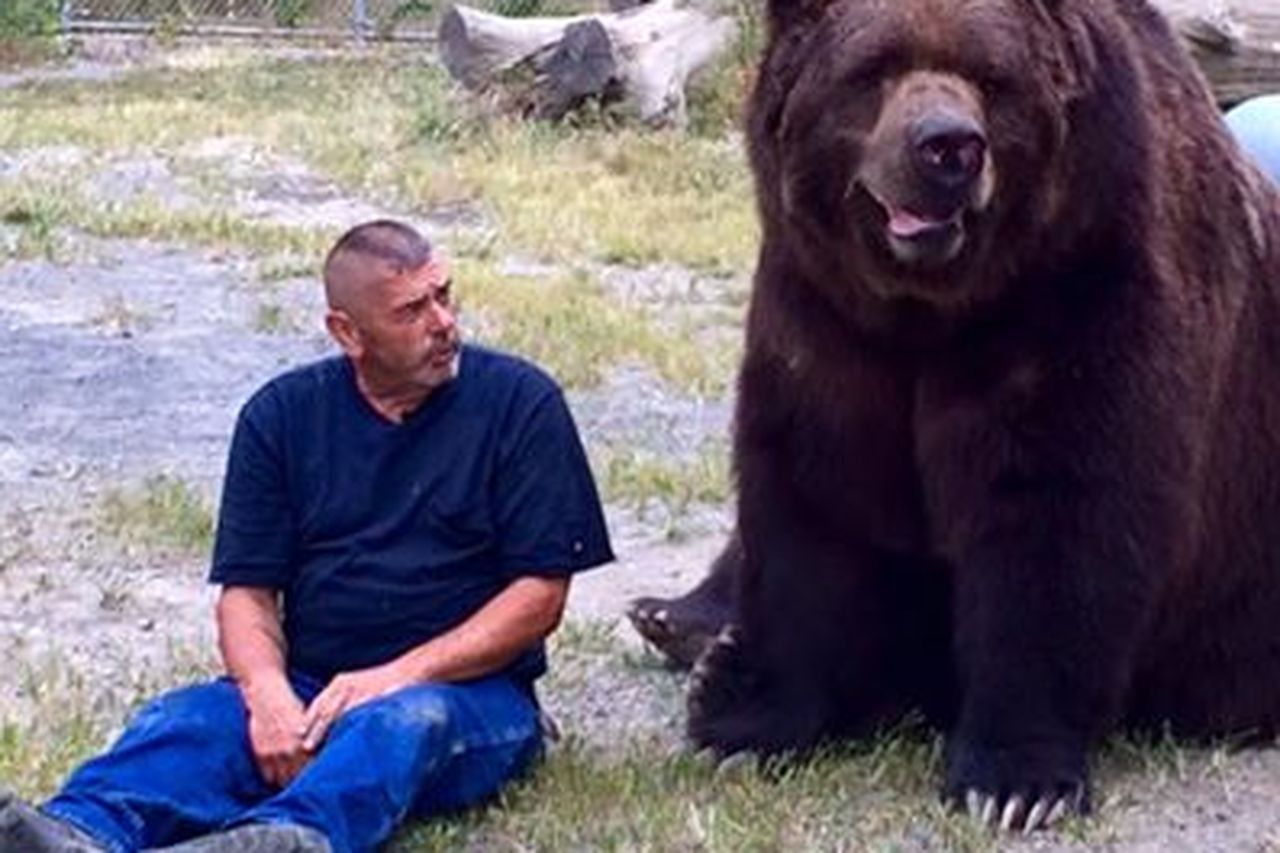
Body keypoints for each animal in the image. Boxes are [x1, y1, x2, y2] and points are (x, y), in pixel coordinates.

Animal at [678, 0, 1280, 832]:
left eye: (993, 78)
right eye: (874, 68)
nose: (947, 147)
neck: (933, 311)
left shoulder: (1077, 301)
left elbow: (1057, 524)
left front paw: (1014, 780)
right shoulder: (825, 321)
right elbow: (814, 496)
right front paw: (749, 727)